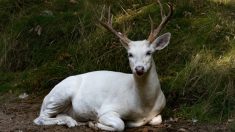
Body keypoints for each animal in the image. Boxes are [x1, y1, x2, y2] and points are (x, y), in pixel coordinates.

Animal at [33, 0, 173, 131]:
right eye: (130, 54)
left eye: (149, 52)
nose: (139, 69)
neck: (144, 107)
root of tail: (45, 97)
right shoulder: (107, 109)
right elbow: (120, 124)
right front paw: (95, 123)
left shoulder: (159, 111)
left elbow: (157, 120)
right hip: (60, 95)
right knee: (40, 118)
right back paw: (72, 122)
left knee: (57, 115)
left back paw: (72, 121)